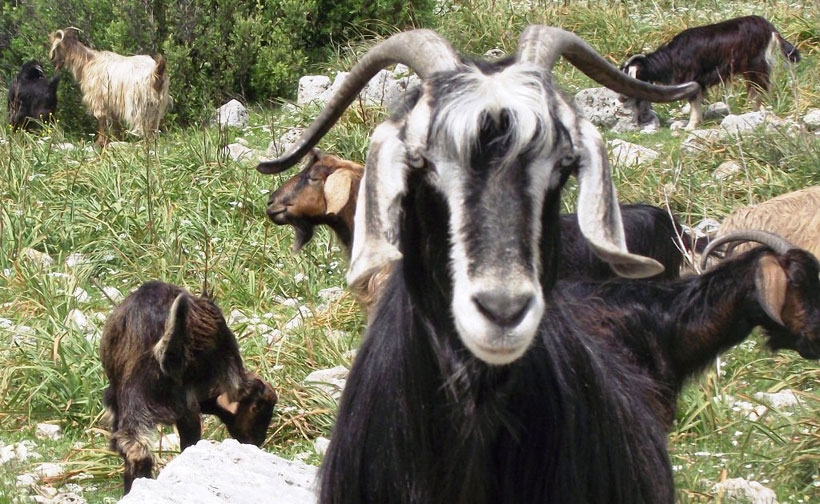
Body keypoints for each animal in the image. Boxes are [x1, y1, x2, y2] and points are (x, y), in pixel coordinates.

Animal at [620, 15, 800, 130]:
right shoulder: (698, 82)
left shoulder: (692, 78)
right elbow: (697, 101)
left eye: (628, 73)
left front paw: (690, 126)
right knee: (755, 88)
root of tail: (769, 28)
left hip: (756, 64)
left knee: (761, 87)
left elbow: (693, 102)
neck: (672, 57)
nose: (621, 98)